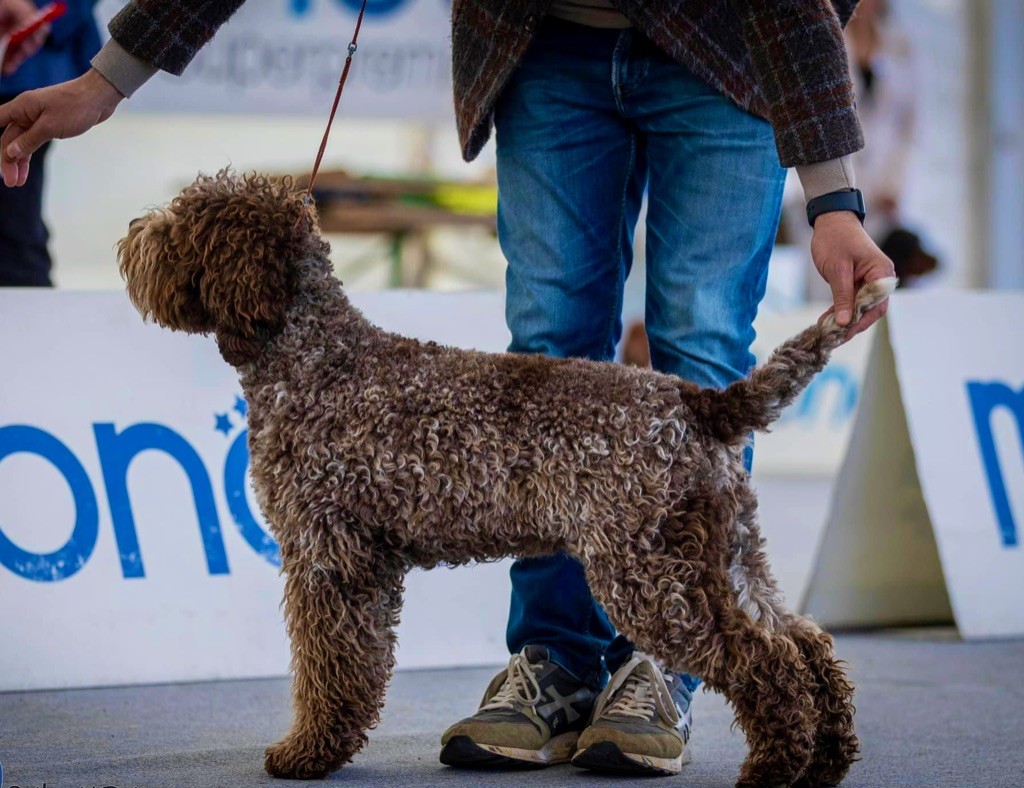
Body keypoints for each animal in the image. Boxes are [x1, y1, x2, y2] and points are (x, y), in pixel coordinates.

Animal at [116, 171, 892, 785]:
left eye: (186, 223)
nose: (132, 237)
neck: (315, 357)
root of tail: (699, 401)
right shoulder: (358, 562)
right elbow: (353, 663)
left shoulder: (328, 555)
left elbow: (329, 666)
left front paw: (306, 753)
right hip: (728, 558)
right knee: (808, 645)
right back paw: (827, 761)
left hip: (652, 575)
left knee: (769, 664)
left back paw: (774, 769)